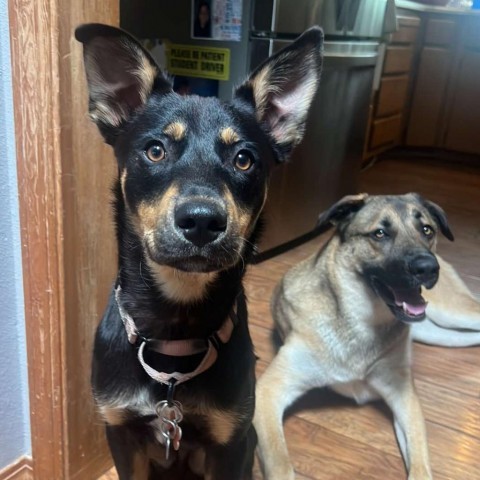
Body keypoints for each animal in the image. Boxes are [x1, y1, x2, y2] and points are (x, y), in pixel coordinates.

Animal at [255, 193, 480, 478]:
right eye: (380, 233)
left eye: (427, 230)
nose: (429, 267)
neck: (361, 319)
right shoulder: (266, 393)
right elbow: (280, 464)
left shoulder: (405, 398)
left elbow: (420, 463)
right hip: (440, 333)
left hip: (452, 312)